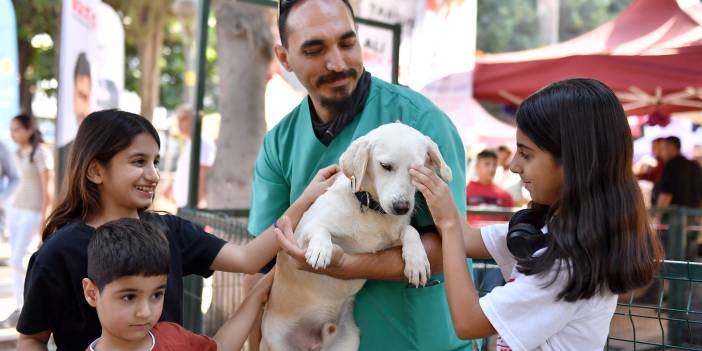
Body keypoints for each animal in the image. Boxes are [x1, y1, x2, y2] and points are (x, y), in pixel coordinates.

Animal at [262, 123, 454, 351]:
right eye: (385, 166)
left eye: (417, 170)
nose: (402, 207)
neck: (370, 209)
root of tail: (314, 343)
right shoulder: (301, 231)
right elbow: (319, 229)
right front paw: (320, 249)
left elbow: (411, 231)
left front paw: (417, 261)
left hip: (347, 341)